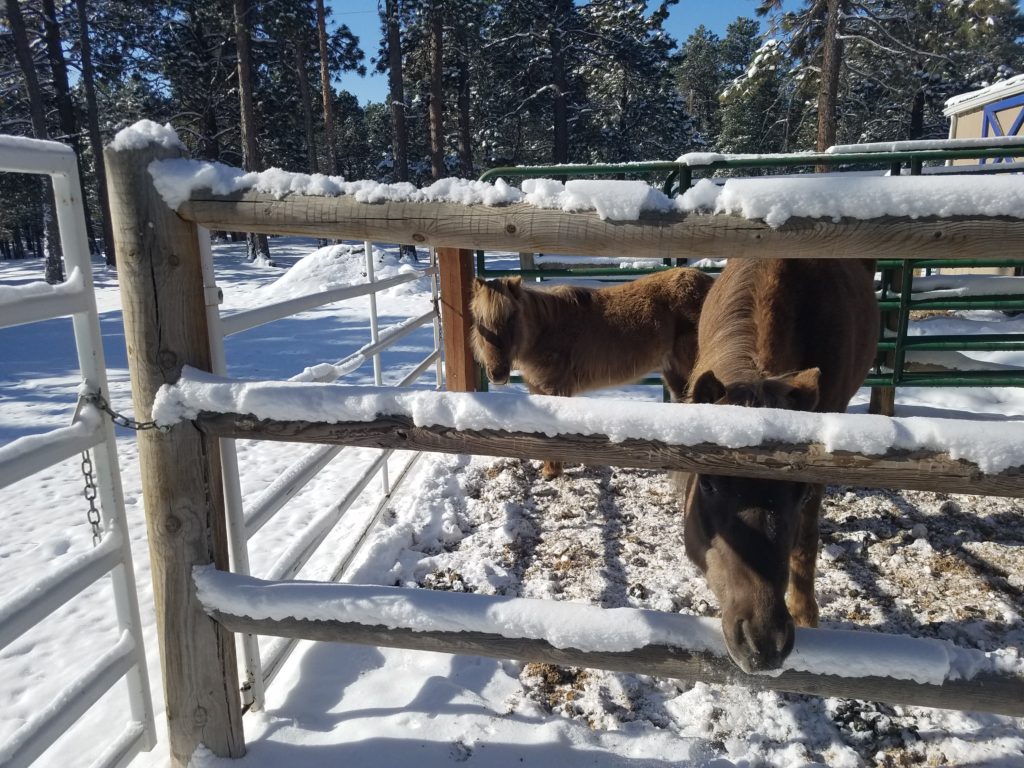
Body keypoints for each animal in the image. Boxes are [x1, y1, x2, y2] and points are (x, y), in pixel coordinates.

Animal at [471, 268, 712, 479]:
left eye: (512, 317)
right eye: (480, 320)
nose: (497, 373)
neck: (546, 330)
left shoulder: (556, 389)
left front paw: (552, 471)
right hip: (674, 373)